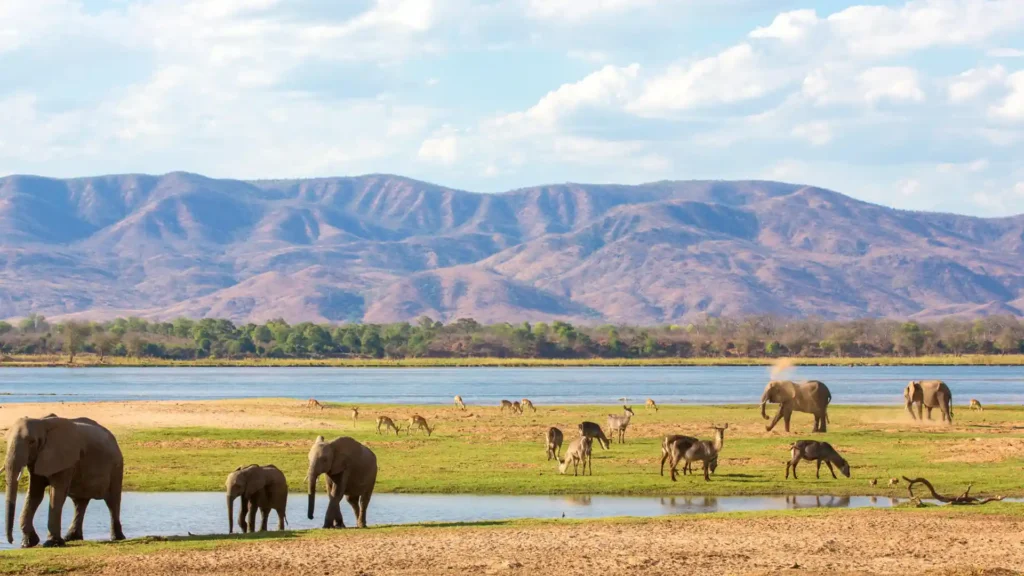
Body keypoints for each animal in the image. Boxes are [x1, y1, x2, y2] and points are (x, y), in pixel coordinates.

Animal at [4, 414, 124, 545]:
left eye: (32, 442)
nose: (11, 541)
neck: (42, 423)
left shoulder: (66, 460)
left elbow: (56, 494)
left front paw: (52, 543)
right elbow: (34, 494)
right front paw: (28, 543)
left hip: (116, 467)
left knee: (112, 501)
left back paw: (117, 538)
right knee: (79, 503)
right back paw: (71, 537)